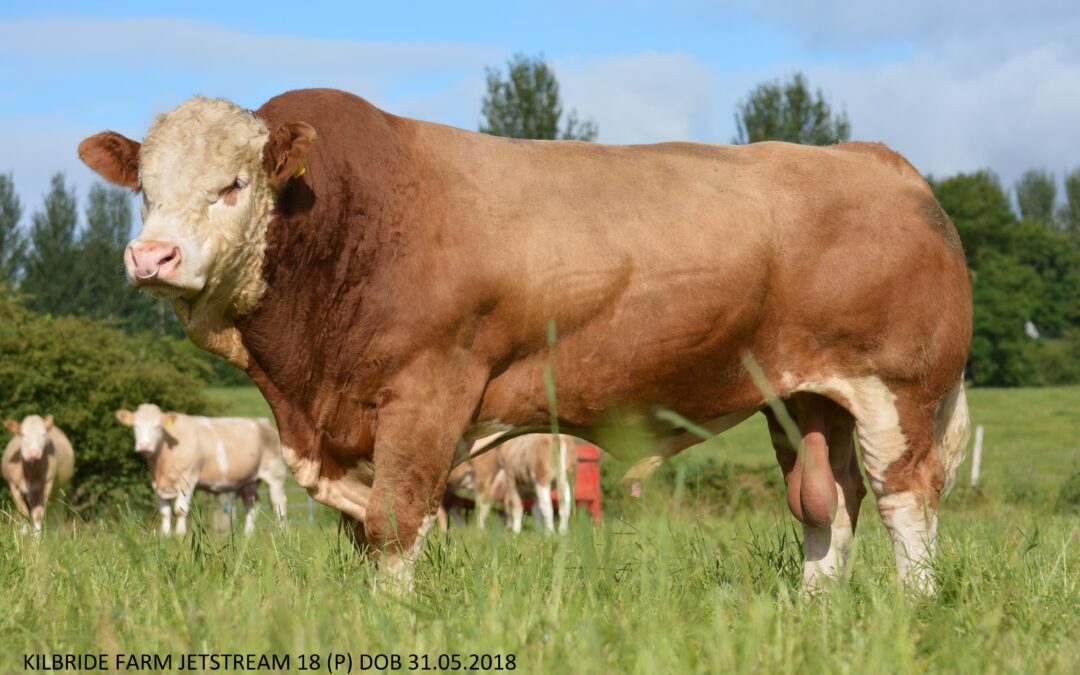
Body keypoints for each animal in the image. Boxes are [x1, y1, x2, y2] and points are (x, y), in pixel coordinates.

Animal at [115, 401, 287, 533]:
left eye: (158, 426)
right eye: (135, 426)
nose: (144, 446)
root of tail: (263, 422)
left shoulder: (188, 479)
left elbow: (180, 510)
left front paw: (180, 536)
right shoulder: (157, 484)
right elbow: (165, 512)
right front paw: (165, 536)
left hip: (275, 475)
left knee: (279, 504)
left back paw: (282, 533)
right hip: (247, 481)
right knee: (252, 504)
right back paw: (248, 535)